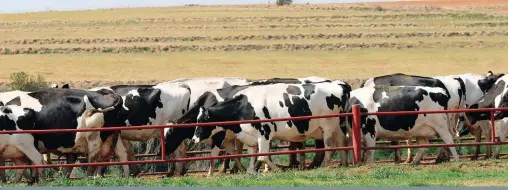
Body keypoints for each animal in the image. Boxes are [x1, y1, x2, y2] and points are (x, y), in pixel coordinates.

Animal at [189, 82, 352, 173]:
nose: (194, 138)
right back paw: (344, 163)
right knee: (342, 141)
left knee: (330, 147)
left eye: (202, 120)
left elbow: (263, 156)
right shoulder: (251, 137)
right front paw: (250, 171)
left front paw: (277, 169)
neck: (243, 107)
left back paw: (323, 166)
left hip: (327, 126)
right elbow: (253, 155)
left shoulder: (264, 134)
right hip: (337, 126)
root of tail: (339, 85)